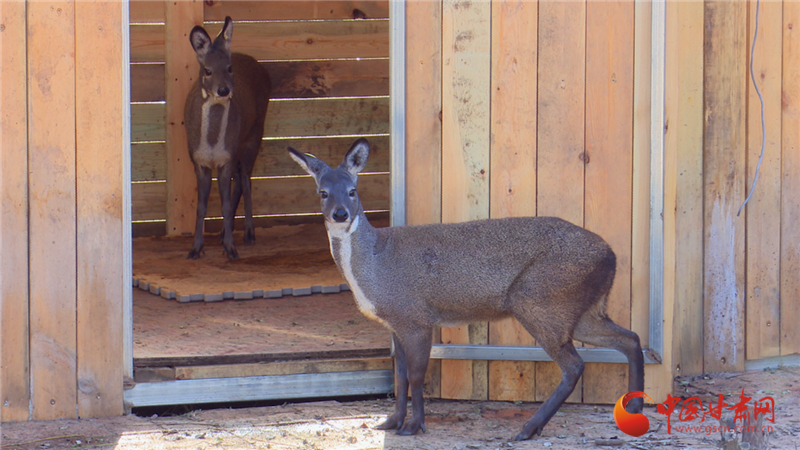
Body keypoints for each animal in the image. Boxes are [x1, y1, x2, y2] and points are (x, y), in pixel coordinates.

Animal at [184, 16, 271, 260]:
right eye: (207, 70)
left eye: (229, 68)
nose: (223, 90)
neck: (212, 146)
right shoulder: (198, 161)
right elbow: (202, 206)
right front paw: (196, 249)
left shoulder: (227, 158)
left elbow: (223, 204)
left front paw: (231, 249)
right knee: (240, 179)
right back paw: (225, 232)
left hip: (254, 133)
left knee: (246, 178)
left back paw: (248, 234)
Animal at [287, 138, 646, 441]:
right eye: (322, 192)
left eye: (352, 190)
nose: (340, 214)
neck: (374, 268)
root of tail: (612, 256)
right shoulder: (395, 324)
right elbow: (400, 376)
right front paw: (391, 422)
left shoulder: (416, 317)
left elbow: (416, 376)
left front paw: (415, 426)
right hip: (581, 309)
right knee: (630, 339)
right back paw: (634, 407)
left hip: (539, 299)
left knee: (575, 364)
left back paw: (529, 428)